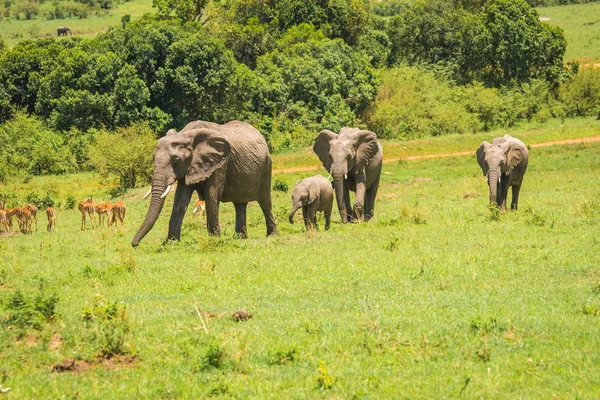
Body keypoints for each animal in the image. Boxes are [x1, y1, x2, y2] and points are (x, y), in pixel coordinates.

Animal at [132, 119, 278, 247]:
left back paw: (272, 236)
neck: (185, 135)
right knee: (240, 204)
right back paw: (239, 238)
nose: (135, 244)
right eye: (153, 158)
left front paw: (215, 240)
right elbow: (181, 198)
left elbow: (212, 194)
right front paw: (170, 243)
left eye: (176, 160)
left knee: (265, 201)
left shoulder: (219, 164)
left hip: (266, 166)